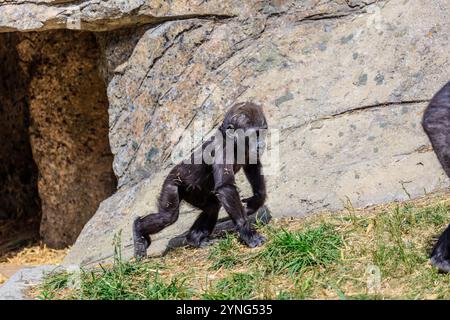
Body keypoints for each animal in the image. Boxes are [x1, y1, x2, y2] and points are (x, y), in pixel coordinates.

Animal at [133, 101, 268, 258]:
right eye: (254, 135)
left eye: (262, 133)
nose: (261, 144)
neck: (232, 141)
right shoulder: (222, 151)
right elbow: (226, 188)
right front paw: (248, 232)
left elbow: (253, 167)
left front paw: (256, 200)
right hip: (172, 183)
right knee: (167, 216)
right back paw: (138, 231)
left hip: (194, 193)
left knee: (212, 206)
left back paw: (195, 240)